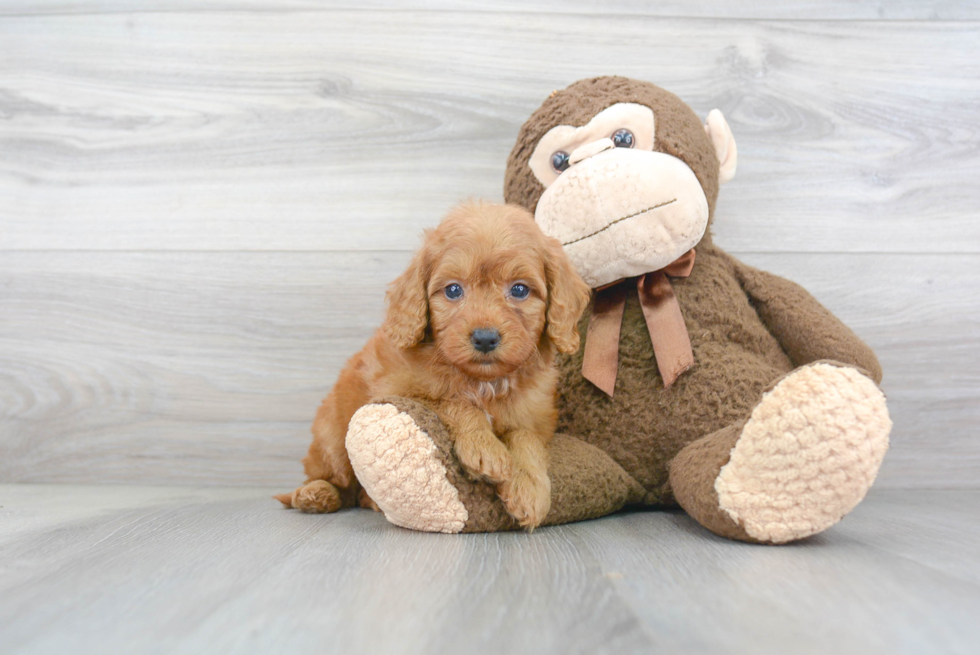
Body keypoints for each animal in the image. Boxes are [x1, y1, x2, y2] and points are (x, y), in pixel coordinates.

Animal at [280, 202, 592, 532]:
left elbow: (525, 437)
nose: (484, 338)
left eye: (520, 290)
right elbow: (452, 402)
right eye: (453, 290)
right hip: (332, 437)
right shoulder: (398, 390)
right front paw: (484, 448)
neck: (482, 382)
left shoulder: (535, 418)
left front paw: (529, 488)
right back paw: (315, 494)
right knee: (336, 480)